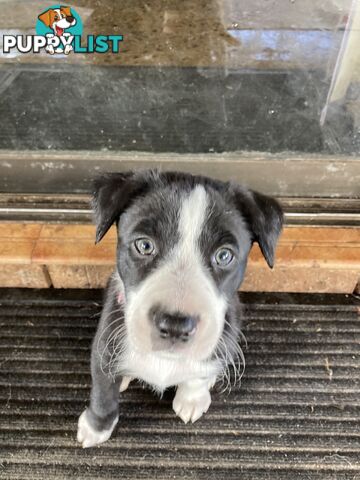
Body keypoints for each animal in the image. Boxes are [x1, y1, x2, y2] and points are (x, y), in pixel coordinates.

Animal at [77, 171, 282, 448]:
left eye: (224, 256)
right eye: (144, 246)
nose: (175, 326)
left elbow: (200, 371)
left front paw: (192, 398)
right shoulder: (104, 345)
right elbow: (102, 391)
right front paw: (96, 427)